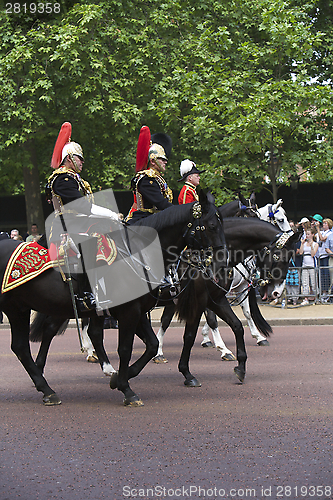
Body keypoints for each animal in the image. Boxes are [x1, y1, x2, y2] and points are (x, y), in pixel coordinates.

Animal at [0, 191, 224, 406]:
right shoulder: (130, 312)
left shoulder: (139, 311)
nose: (222, 260)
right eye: (212, 225)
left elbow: (152, 344)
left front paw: (119, 379)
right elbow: (126, 348)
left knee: (25, 345)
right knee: (31, 342)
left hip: (24, 308)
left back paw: (47, 387)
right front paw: (127, 390)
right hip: (20, 309)